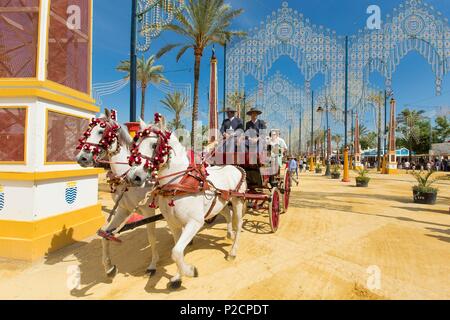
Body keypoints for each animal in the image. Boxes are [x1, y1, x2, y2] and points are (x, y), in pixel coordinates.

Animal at [76, 109, 161, 276]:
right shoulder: (123, 209)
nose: (81, 158)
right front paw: (108, 267)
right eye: (88, 131)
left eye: (101, 131)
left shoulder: (148, 210)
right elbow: (105, 234)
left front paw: (153, 264)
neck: (127, 175)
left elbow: (152, 238)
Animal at [126, 118, 246, 290]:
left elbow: (176, 252)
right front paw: (178, 277)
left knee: (239, 221)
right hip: (221, 202)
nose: (134, 177)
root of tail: (235, 167)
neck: (178, 184)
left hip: (237, 200)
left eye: (154, 145)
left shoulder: (195, 223)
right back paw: (229, 234)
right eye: (137, 143)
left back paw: (233, 251)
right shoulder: (173, 224)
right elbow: (177, 251)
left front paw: (190, 271)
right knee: (227, 214)